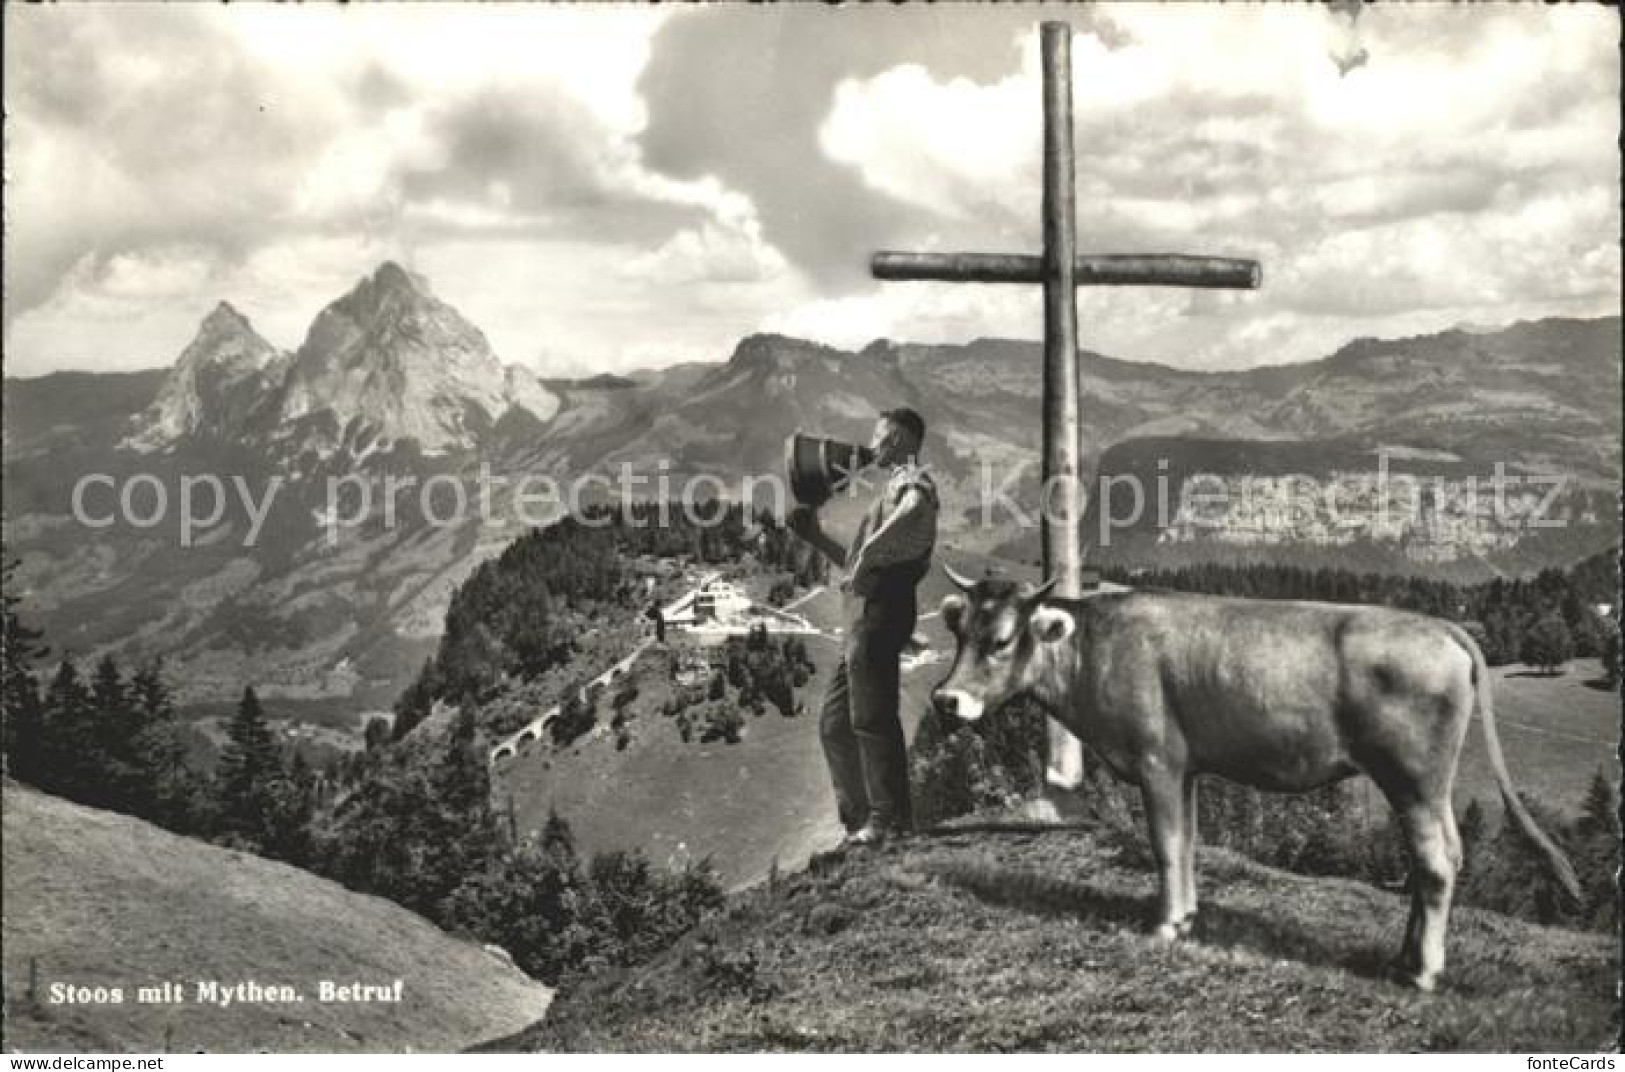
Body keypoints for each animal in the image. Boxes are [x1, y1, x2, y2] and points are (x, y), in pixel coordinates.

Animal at [936, 565, 1579, 994]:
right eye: (959, 634)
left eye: (1000, 641)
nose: (946, 700)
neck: (1093, 649)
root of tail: (1439, 627)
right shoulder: (1187, 766)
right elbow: (1188, 842)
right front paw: (1187, 916)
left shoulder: (1156, 760)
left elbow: (1165, 844)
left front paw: (1164, 925)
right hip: (1427, 787)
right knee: (1441, 857)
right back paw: (1403, 958)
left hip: (1414, 779)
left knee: (1437, 863)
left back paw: (1422, 972)